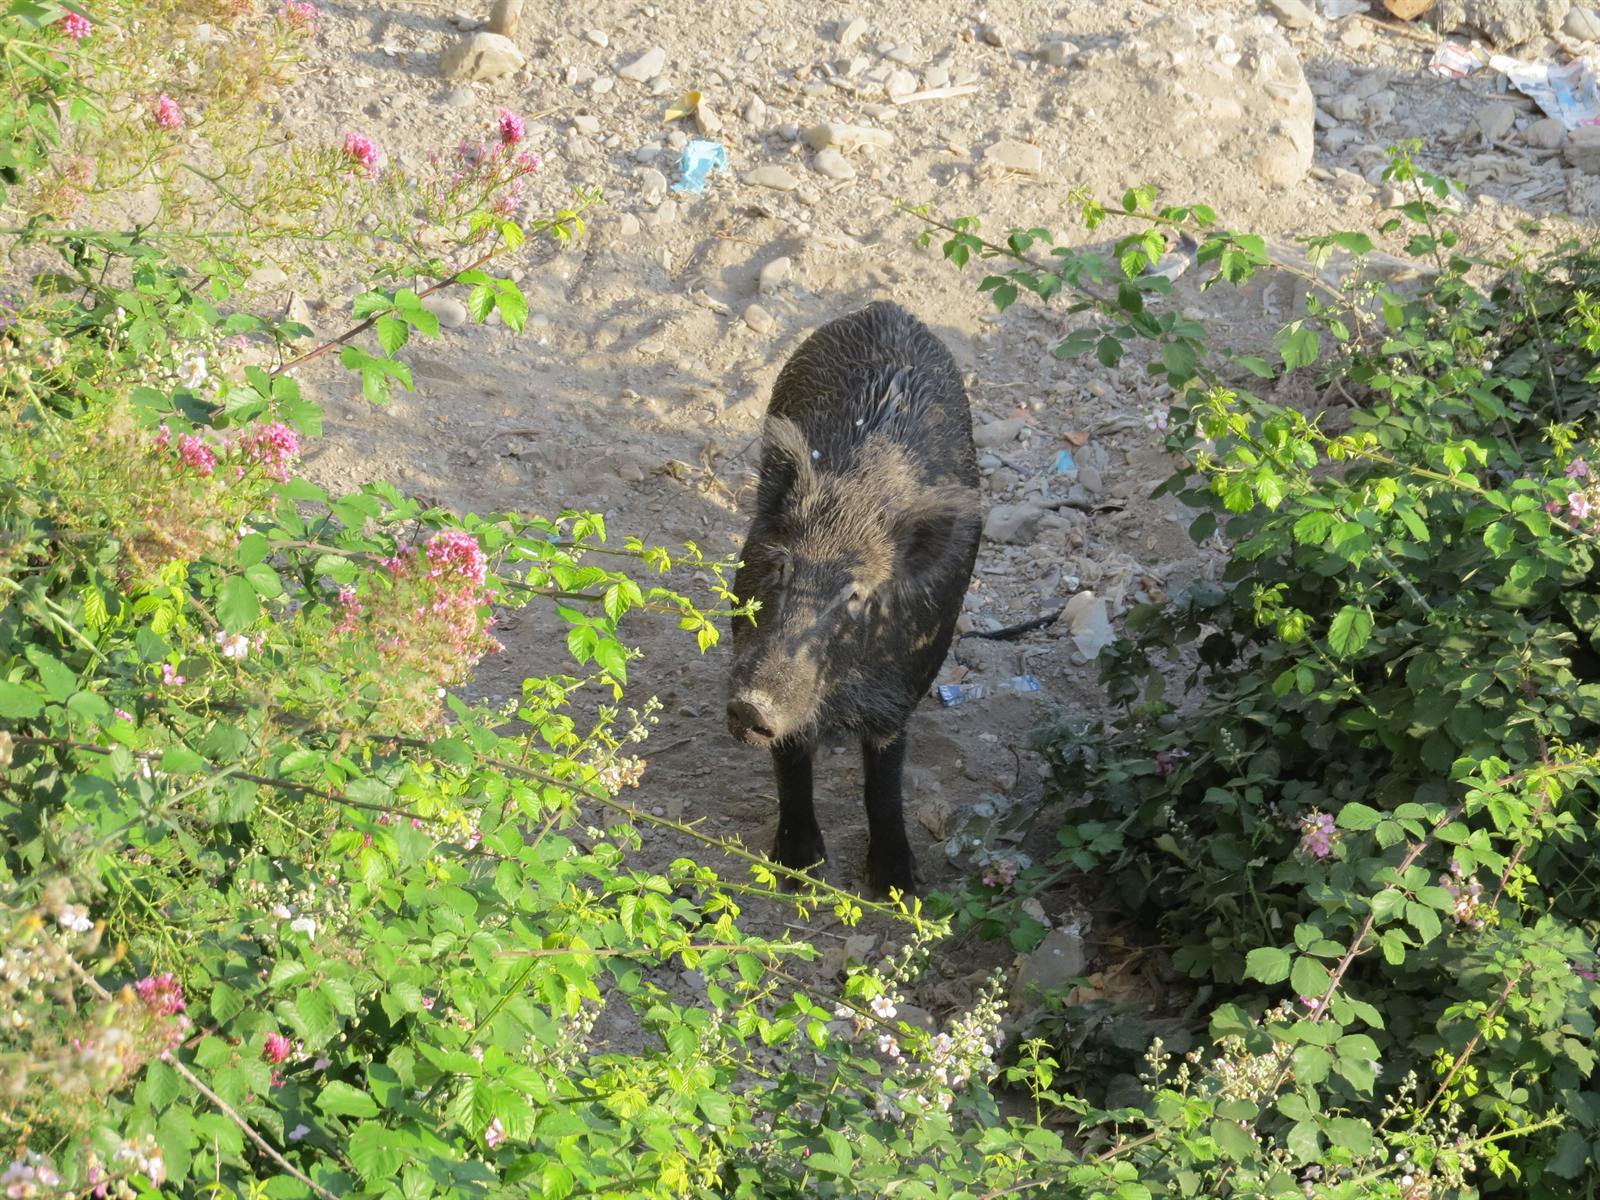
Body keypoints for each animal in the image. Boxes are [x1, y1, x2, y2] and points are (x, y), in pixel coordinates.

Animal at [725, 300, 982, 896]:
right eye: (780, 566)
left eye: (858, 595)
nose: (750, 704)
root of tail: (887, 307)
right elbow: (791, 762)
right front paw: (797, 871)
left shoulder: (899, 693)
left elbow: (883, 784)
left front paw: (897, 886)